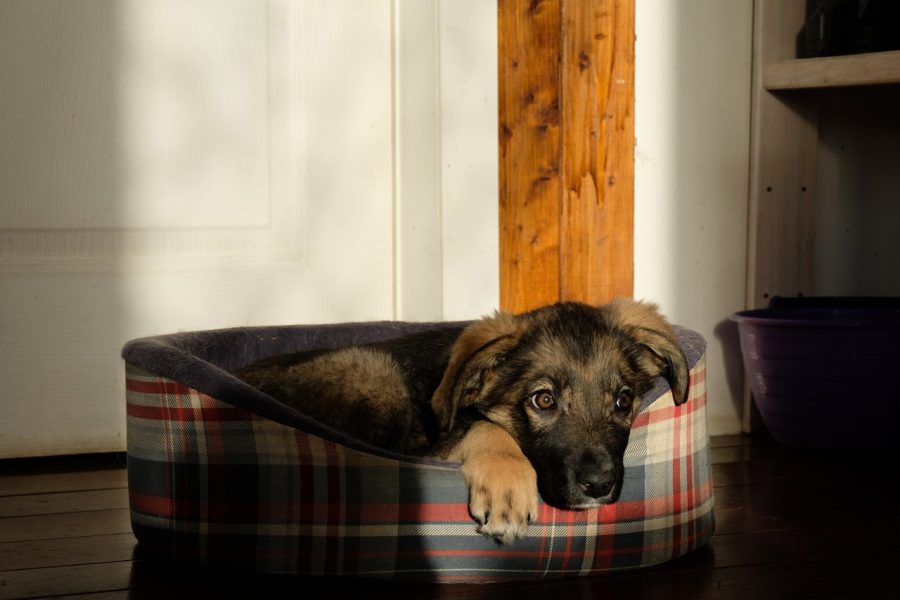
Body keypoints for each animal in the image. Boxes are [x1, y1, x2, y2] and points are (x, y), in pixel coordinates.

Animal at [233, 299, 689, 544]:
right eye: (543, 400)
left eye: (623, 401)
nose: (598, 485)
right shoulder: (436, 440)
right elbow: (486, 425)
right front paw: (507, 486)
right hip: (376, 373)